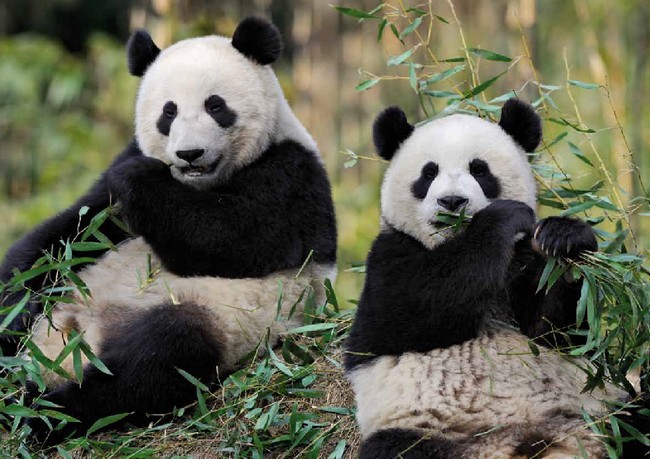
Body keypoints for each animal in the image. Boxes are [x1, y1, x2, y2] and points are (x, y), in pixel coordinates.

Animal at [0, 16, 334, 442]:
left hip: (224, 322)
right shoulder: (113, 187)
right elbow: (65, 237)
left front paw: (142, 179)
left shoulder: (293, 178)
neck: (197, 184)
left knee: (155, 358)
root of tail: (82, 336)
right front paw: (12, 304)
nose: (189, 154)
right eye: (168, 112)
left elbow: (228, 238)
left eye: (215, 106)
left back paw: (46, 410)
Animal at [342, 99, 644, 458]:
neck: (450, 241)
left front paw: (565, 237)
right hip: (423, 429)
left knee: (636, 418)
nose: (452, 201)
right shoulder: (389, 257)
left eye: (479, 170)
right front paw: (501, 218)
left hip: (600, 413)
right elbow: (411, 308)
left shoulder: (523, 266)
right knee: (398, 448)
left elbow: (555, 331)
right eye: (428, 173)